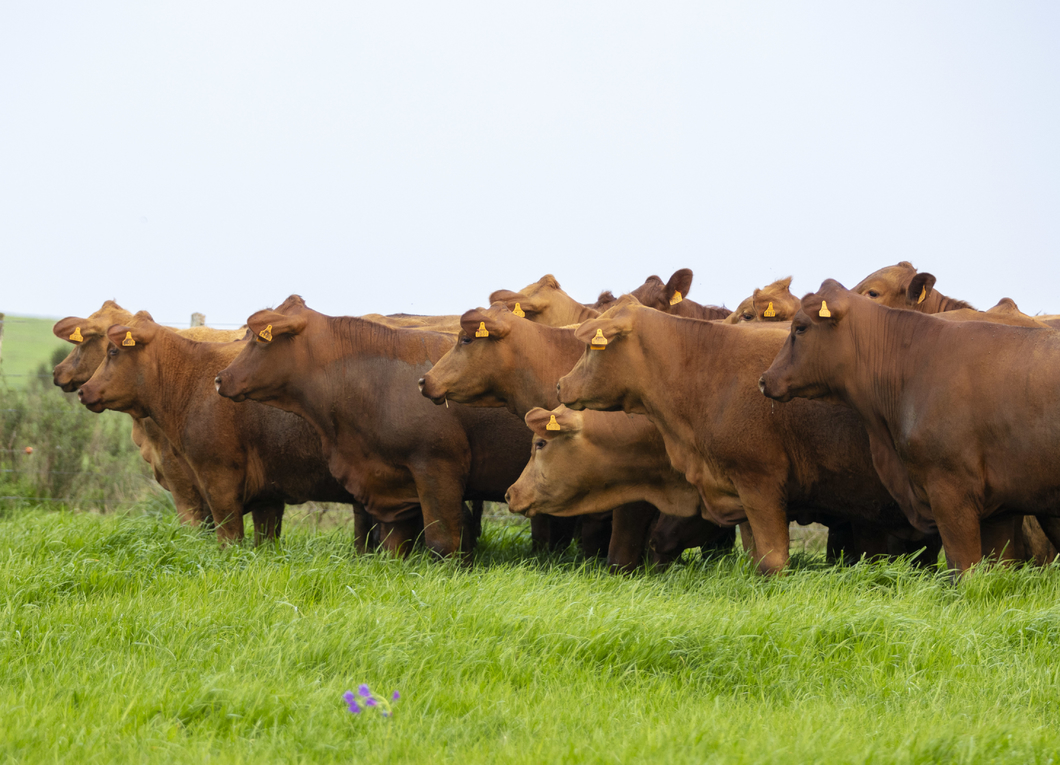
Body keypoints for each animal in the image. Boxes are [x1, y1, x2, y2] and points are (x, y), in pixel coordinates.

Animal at [76, 313, 362, 542]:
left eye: (113, 352)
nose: (83, 391)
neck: (192, 380)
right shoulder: (268, 493)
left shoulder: (216, 482)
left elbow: (228, 539)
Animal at [216, 294, 534, 555]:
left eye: (260, 339)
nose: (220, 378)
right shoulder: (393, 485)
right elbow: (393, 544)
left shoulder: (438, 469)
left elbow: (442, 541)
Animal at [555, 294, 937, 576]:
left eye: (593, 347)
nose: (560, 384)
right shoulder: (742, 490)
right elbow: (756, 556)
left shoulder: (760, 482)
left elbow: (772, 561)